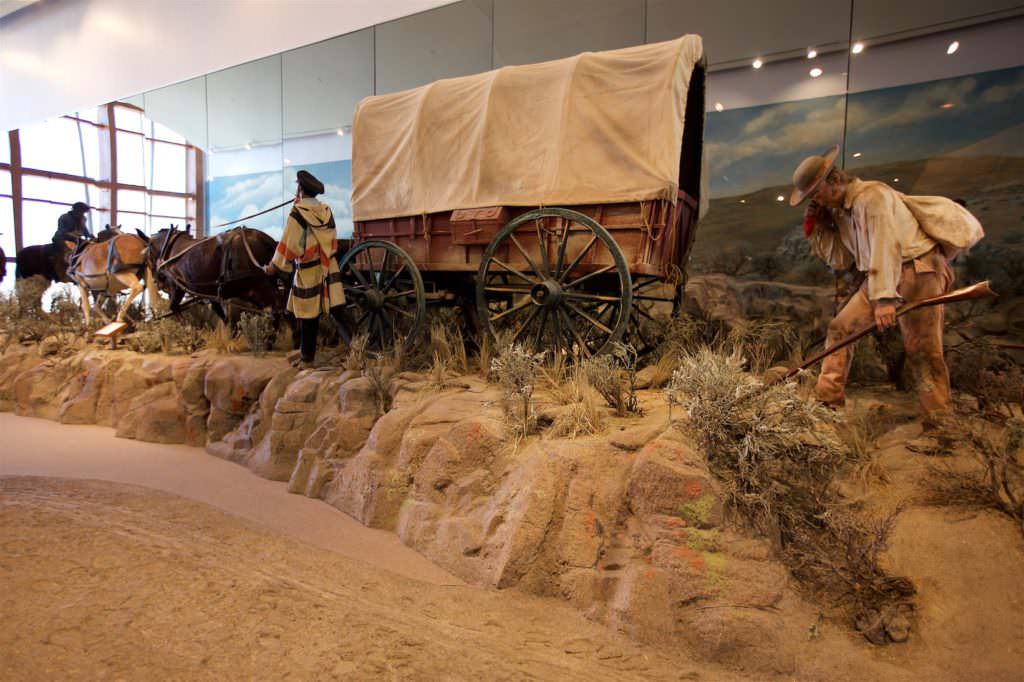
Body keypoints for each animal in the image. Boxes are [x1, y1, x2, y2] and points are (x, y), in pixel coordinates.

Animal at [142, 223, 282, 319]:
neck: (170, 248)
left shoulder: (176, 286)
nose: (156, 283)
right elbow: (222, 315)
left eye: (147, 257)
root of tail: (266, 240)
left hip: (259, 286)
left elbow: (174, 308)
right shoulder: (210, 293)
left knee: (276, 308)